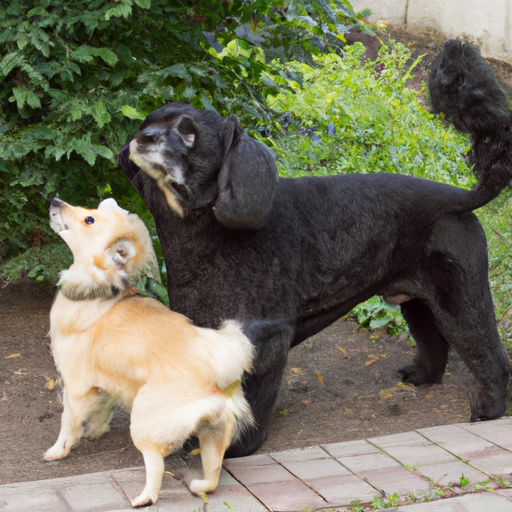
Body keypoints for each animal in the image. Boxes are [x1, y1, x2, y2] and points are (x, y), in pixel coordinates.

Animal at [43, 198, 254, 506]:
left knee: (156, 466)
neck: (99, 289)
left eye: (89, 219)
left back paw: (144, 498)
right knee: (213, 475)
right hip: (213, 434)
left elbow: (68, 423)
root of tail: (213, 371)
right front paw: (96, 431)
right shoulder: (107, 380)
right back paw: (198, 486)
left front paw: (58, 450)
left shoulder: (76, 385)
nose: (54, 200)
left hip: (144, 424)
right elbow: (103, 408)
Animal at [118, 41, 512, 456]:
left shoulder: (265, 337)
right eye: (148, 122)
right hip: (419, 298)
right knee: (434, 341)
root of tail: (460, 195)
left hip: (460, 300)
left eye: (189, 133)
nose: (142, 138)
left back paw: (487, 412)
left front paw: (237, 444)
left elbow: (251, 401)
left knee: (490, 358)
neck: (200, 229)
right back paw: (421, 376)